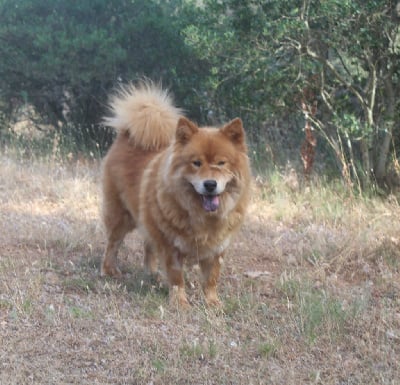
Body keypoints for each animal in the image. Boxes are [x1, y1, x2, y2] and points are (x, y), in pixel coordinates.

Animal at [100, 82, 250, 306]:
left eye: (221, 163)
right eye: (196, 163)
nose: (210, 184)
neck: (201, 216)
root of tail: (126, 135)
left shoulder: (217, 248)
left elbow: (211, 278)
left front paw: (213, 303)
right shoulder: (171, 245)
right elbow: (177, 277)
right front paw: (180, 303)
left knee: (148, 247)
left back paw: (152, 274)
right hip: (121, 216)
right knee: (113, 244)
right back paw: (109, 270)